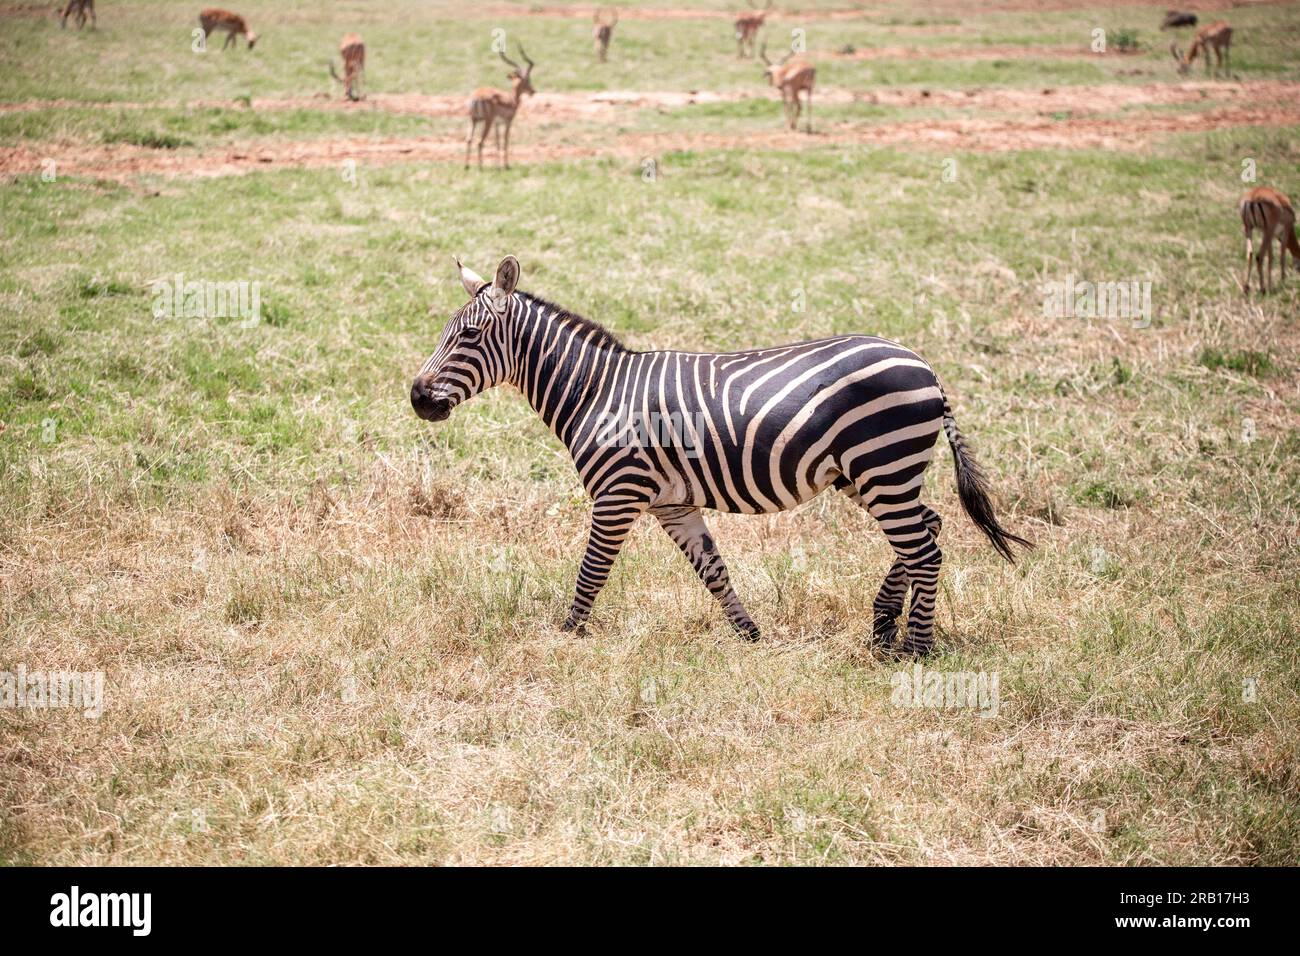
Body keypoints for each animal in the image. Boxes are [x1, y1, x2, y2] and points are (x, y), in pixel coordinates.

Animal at [411, 256, 1031, 655]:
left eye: (467, 337)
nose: (416, 398)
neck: (596, 391)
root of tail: (926, 367)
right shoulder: (671, 504)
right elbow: (713, 571)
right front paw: (749, 637)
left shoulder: (618, 493)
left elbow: (592, 571)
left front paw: (566, 639)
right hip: (872, 475)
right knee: (927, 529)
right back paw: (882, 629)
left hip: (882, 465)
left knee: (924, 548)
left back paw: (915, 649)